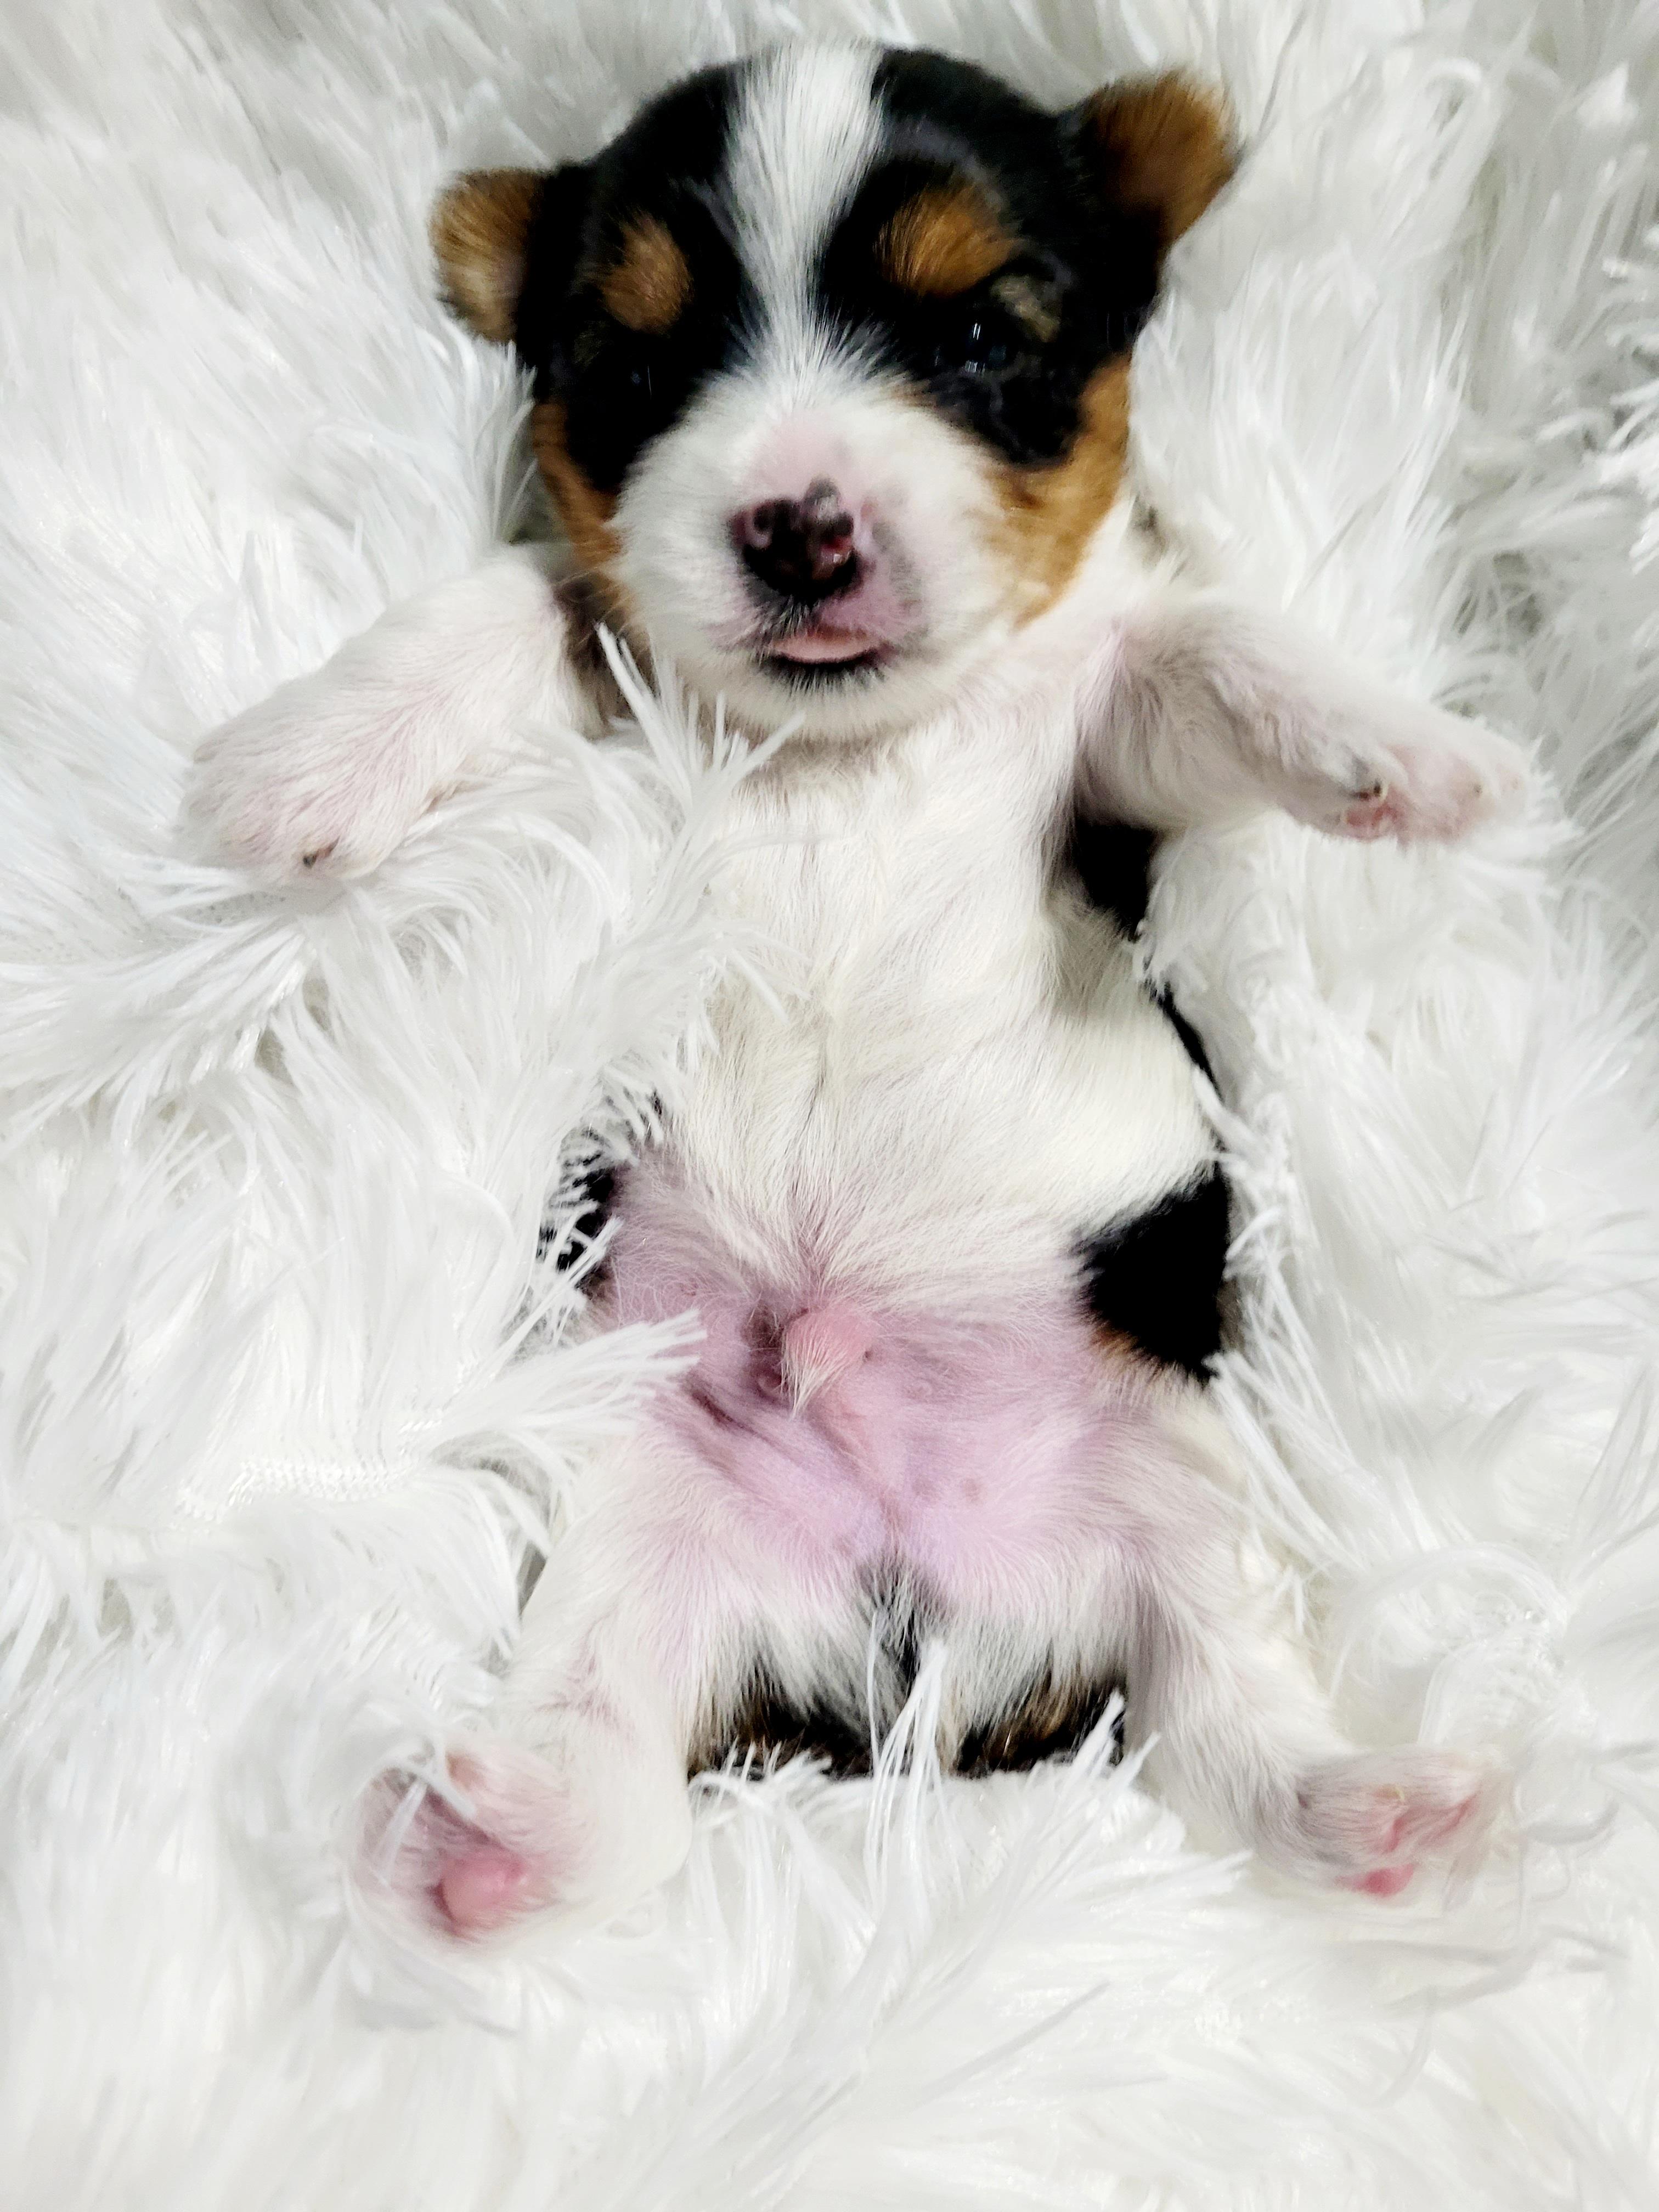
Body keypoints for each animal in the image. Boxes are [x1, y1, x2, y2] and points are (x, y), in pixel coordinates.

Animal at [191, 43, 1525, 1938]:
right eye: (637, 367)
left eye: (977, 338)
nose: (796, 527)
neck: (854, 747)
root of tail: (912, 1630)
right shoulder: (617, 646)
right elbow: (512, 597)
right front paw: (302, 764)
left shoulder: (1110, 749)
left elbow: (1205, 655)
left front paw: (1408, 750)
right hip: (641, 1539)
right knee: (623, 1784)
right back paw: (484, 1836)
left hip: (1185, 1502)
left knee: (1223, 1727)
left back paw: (1380, 1808)